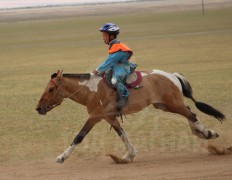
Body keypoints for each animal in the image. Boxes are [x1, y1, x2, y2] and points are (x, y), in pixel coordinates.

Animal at [35, 69, 225, 164]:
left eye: (51, 89)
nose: (38, 108)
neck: (92, 90)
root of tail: (171, 75)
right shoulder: (109, 117)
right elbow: (122, 134)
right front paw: (129, 155)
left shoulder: (95, 116)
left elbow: (79, 136)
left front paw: (62, 157)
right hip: (165, 105)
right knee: (190, 112)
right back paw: (203, 133)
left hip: (172, 104)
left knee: (191, 113)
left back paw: (207, 133)